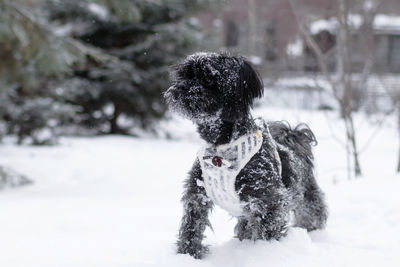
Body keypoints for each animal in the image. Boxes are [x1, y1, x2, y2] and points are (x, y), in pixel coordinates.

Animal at [164, 51, 326, 260]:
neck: (221, 146)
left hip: (306, 201)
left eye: (207, 77)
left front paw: (262, 253)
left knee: (312, 216)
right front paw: (188, 254)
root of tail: (292, 138)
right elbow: (191, 227)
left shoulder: (268, 202)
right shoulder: (197, 193)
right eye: (184, 75)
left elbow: (267, 233)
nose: (178, 90)